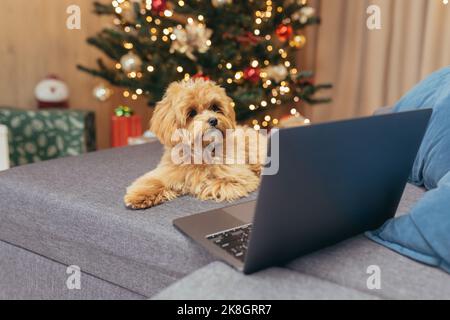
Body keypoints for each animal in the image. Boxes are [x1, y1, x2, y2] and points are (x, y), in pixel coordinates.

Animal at [124, 79, 264, 210]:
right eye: (192, 113)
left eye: (215, 107)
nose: (213, 120)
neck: (201, 150)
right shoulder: (167, 172)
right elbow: (153, 180)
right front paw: (140, 195)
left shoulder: (239, 177)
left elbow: (217, 183)